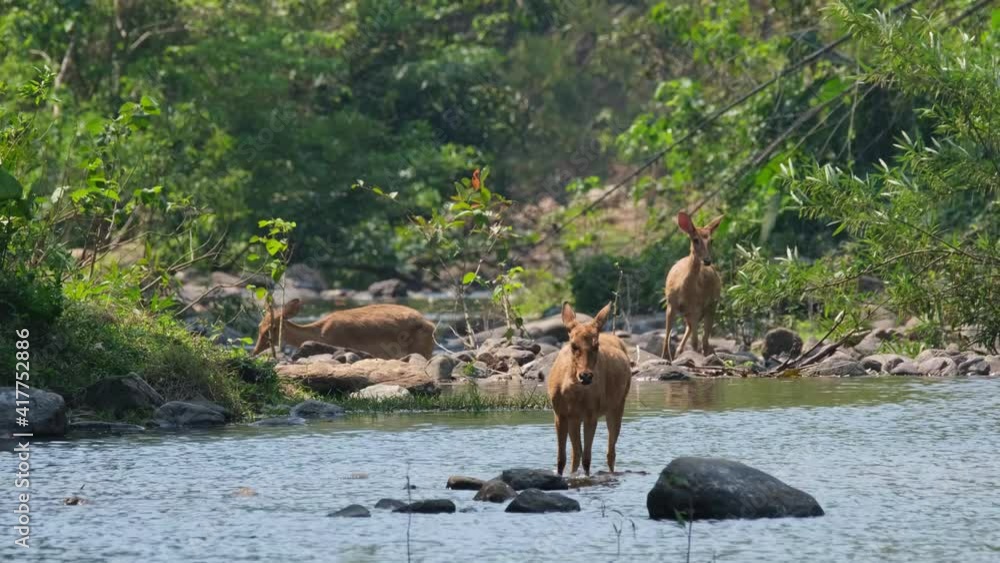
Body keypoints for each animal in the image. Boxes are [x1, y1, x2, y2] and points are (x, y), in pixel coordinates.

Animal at [250, 299, 435, 359]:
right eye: (259, 326)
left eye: (273, 327)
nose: (254, 351)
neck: (320, 333)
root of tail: (431, 325)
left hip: (422, 350)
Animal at [547, 302, 632, 476]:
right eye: (573, 345)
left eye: (596, 345)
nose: (585, 376)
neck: (572, 392)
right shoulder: (560, 414)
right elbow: (561, 459)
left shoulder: (591, 415)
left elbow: (587, 459)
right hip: (575, 418)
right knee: (576, 453)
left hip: (617, 405)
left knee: (610, 452)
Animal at [661, 211, 724, 361]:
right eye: (695, 240)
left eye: (711, 241)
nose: (707, 260)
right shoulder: (671, 304)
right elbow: (666, 335)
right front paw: (664, 357)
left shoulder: (696, 308)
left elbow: (696, 341)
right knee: (692, 333)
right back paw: (680, 351)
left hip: (711, 305)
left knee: (703, 339)